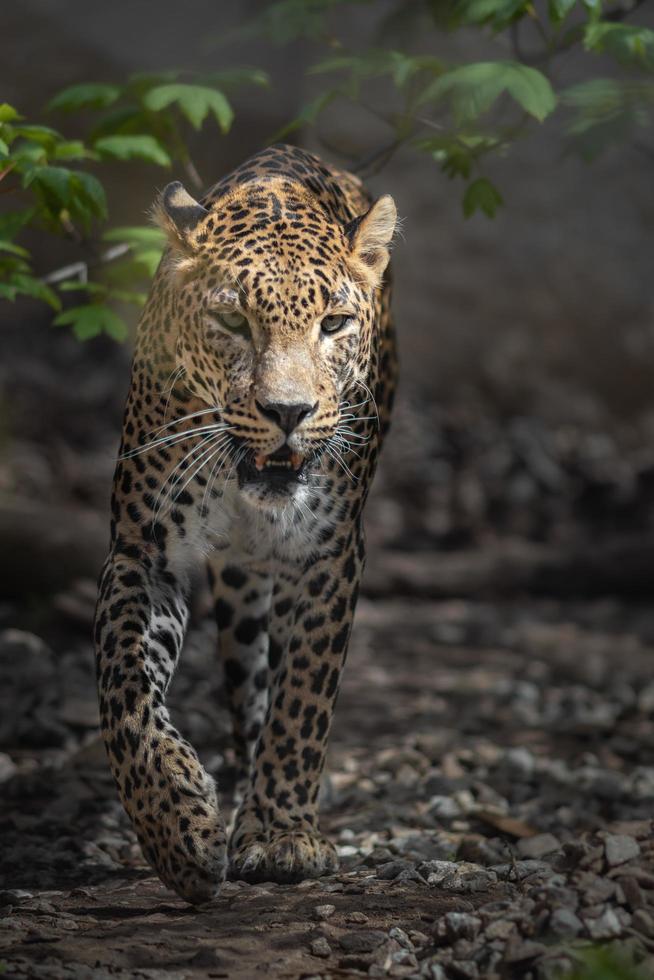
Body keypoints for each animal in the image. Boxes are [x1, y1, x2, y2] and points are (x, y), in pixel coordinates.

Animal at [93, 144, 400, 904]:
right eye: (233, 325)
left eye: (333, 324)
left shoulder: (327, 555)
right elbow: (123, 687)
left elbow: (303, 700)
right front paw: (176, 827)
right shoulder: (144, 550)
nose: (288, 411)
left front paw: (282, 833)